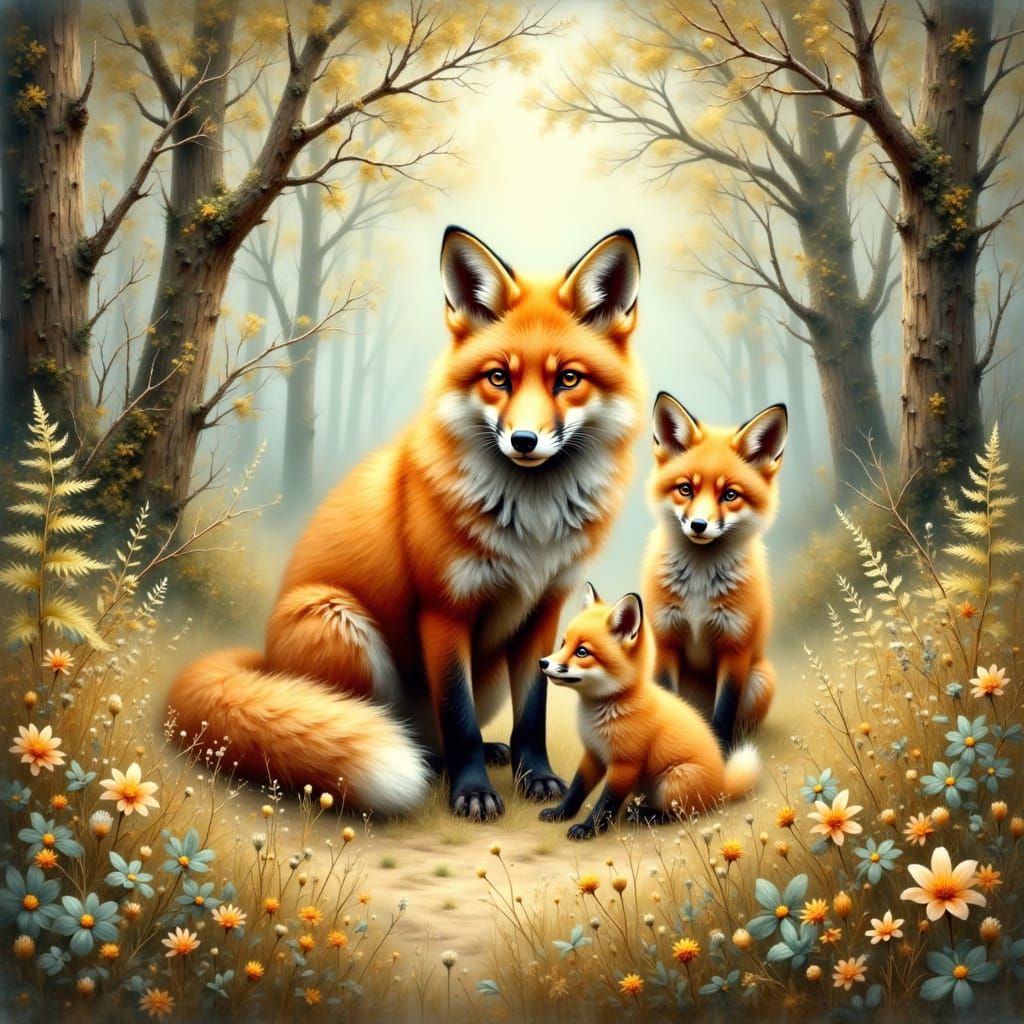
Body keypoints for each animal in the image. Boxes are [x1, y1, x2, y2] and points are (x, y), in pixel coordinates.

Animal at [167, 226, 644, 820]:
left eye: (569, 379)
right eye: (498, 378)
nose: (523, 441)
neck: (531, 526)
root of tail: (265, 660)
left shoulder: (544, 609)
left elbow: (532, 711)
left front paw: (536, 776)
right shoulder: (443, 608)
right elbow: (458, 716)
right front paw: (472, 792)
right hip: (340, 626)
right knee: (396, 727)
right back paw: (428, 763)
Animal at [537, 585, 759, 839]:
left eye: (582, 652)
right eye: (563, 644)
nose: (542, 662)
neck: (607, 709)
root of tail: (721, 786)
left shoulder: (625, 765)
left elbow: (606, 802)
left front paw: (589, 828)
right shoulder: (593, 754)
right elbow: (576, 789)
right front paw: (560, 812)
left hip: (674, 782)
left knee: (679, 813)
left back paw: (643, 814)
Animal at [642, 392, 787, 752]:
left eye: (729, 495)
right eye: (686, 489)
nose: (698, 525)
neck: (698, 585)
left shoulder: (735, 646)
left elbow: (725, 711)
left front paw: (722, 755)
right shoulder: (666, 640)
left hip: (761, 679)